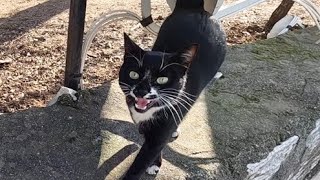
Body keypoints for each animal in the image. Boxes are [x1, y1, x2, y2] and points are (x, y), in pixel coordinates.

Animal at [117, 0, 225, 179]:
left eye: (162, 79)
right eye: (133, 74)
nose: (141, 91)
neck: (150, 112)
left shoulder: (168, 118)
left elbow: (148, 153)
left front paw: (152, 164)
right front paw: (155, 162)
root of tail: (196, 9)